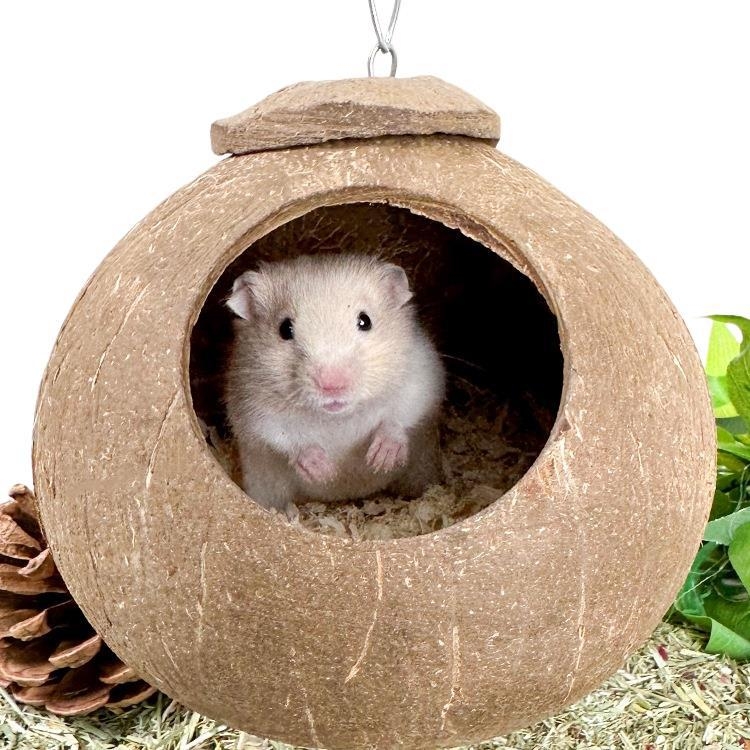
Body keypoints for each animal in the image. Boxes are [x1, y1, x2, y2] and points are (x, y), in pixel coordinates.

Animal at [224, 253, 445, 512]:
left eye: (365, 321)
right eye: (285, 328)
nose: (332, 385)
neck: (337, 418)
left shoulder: (420, 378)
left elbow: (400, 416)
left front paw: (380, 459)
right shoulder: (251, 405)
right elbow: (283, 436)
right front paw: (326, 473)